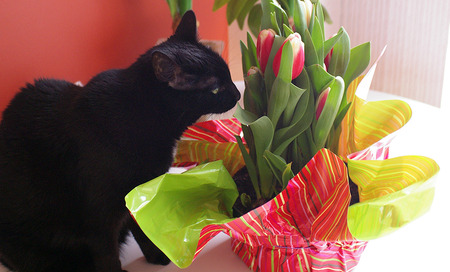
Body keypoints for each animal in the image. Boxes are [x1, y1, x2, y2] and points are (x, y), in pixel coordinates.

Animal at [0, 11, 239, 272]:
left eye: (228, 74)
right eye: (215, 88)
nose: (238, 94)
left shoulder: (138, 194)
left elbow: (142, 231)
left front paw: (156, 256)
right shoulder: (99, 212)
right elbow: (106, 250)